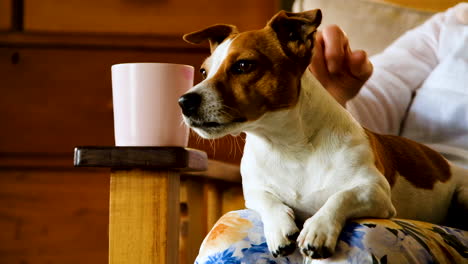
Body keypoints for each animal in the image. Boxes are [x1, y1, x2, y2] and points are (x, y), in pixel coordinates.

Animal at [177, 9, 466, 258]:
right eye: (203, 71)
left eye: (243, 65)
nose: (183, 101)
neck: (286, 146)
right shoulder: (254, 191)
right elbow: (267, 200)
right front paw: (278, 227)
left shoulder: (375, 190)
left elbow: (341, 196)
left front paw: (319, 229)